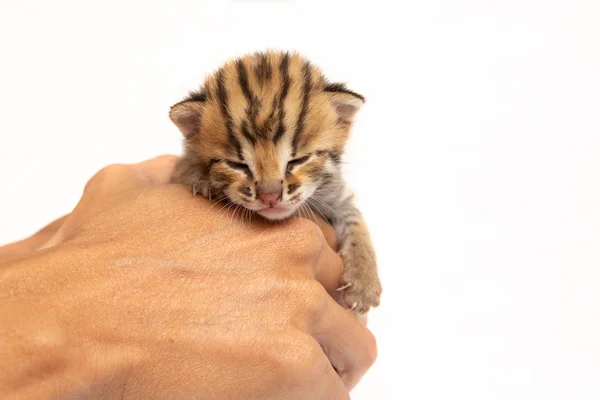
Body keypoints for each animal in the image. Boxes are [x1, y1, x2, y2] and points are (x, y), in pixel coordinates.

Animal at [169, 50, 382, 314]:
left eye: (298, 160)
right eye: (237, 165)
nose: (269, 196)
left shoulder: (336, 195)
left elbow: (355, 220)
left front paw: (364, 283)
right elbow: (185, 168)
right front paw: (201, 179)